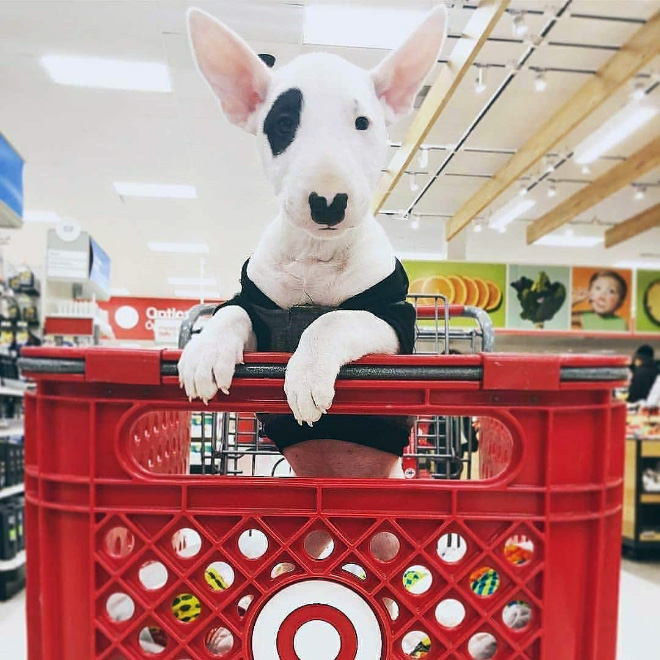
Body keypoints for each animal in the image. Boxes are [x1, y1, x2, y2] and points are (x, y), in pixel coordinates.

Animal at [179, 3, 448, 480]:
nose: (328, 203)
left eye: (362, 123)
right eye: (284, 124)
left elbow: (334, 320)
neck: (314, 253)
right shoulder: (258, 311)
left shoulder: (394, 321)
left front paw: (305, 376)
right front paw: (204, 353)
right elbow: (230, 312)